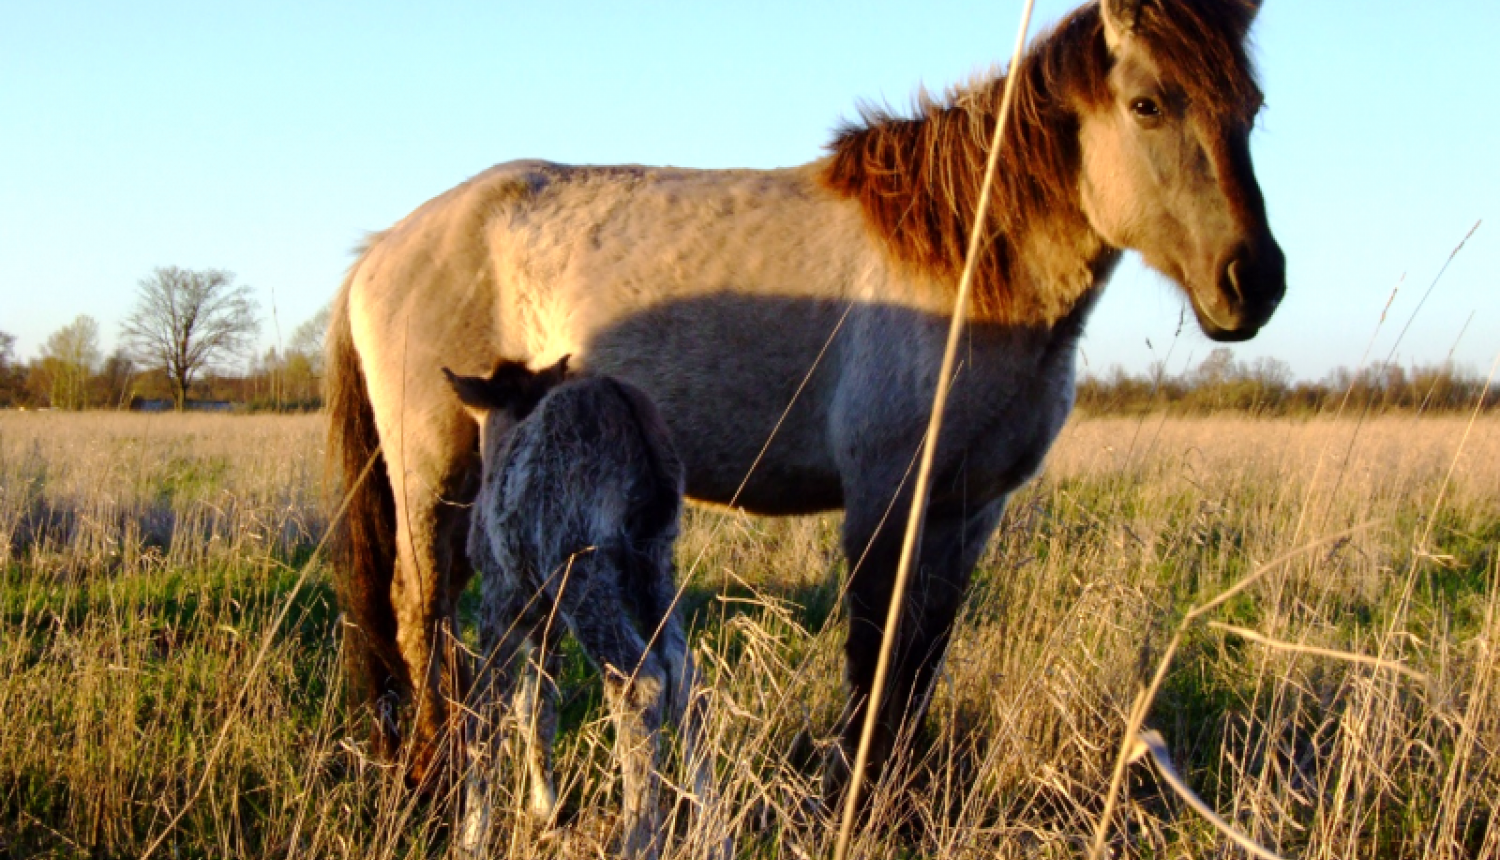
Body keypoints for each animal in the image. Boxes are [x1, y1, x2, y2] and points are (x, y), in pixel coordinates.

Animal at [328, 0, 1290, 792]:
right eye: (1148, 105)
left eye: (1251, 111)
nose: (1254, 283)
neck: (962, 266)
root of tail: (385, 249)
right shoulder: (883, 504)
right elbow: (873, 668)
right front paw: (852, 802)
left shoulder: (968, 511)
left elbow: (919, 669)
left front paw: (898, 801)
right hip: (434, 472)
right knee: (422, 621)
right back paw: (435, 780)